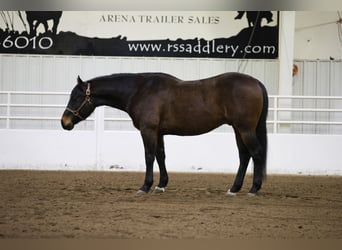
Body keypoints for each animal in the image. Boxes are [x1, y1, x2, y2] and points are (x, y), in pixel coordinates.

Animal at [62, 72, 268, 195]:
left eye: (77, 97)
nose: (64, 122)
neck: (140, 90)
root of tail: (255, 82)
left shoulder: (148, 130)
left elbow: (149, 156)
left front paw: (145, 186)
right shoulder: (158, 132)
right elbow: (161, 156)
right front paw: (161, 184)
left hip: (245, 129)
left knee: (256, 153)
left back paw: (254, 188)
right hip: (238, 129)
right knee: (244, 155)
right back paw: (234, 188)